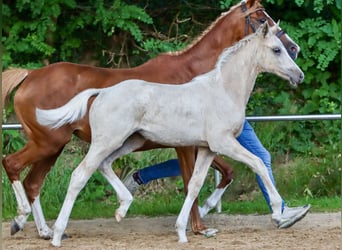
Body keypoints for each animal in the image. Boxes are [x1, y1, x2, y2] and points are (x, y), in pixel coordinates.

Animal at [1, 0, 298, 238]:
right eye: (261, 16)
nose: (295, 52)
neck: (215, 84)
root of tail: (30, 75)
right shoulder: (200, 145)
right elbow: (211, 176)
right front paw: (200, 226)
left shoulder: (202, 145)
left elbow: (207, 179)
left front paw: (195, 223)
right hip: (58, 143)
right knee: (28, 168)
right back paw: (37, 225)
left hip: (69, 146)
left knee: (37, 182)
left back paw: (51, 228)